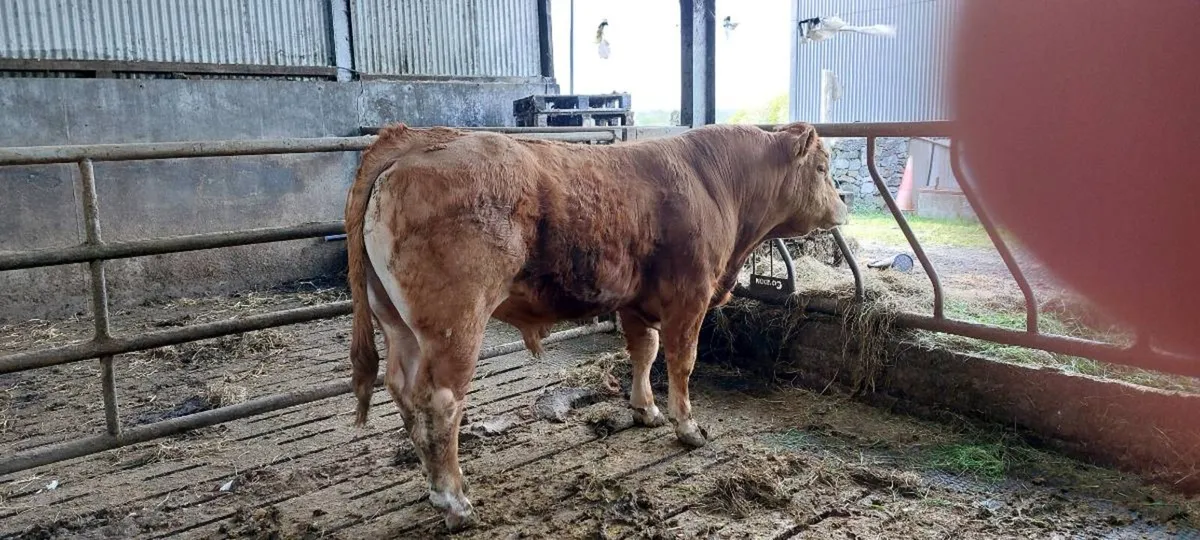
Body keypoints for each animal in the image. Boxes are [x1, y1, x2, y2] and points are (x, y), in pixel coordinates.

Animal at [343, 122, 848, 530]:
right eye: (823, 167)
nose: (843, 204)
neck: (714, 183)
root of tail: (415, 139)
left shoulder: (635, 301)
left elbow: (644, 352)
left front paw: (646, 410)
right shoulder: (690, 298)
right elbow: (681, 362)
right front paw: (687, 427)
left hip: (398, 324)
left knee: (404, 392)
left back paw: (434, 488)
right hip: (455, 325)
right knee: (441, 404)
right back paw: (455, 501)